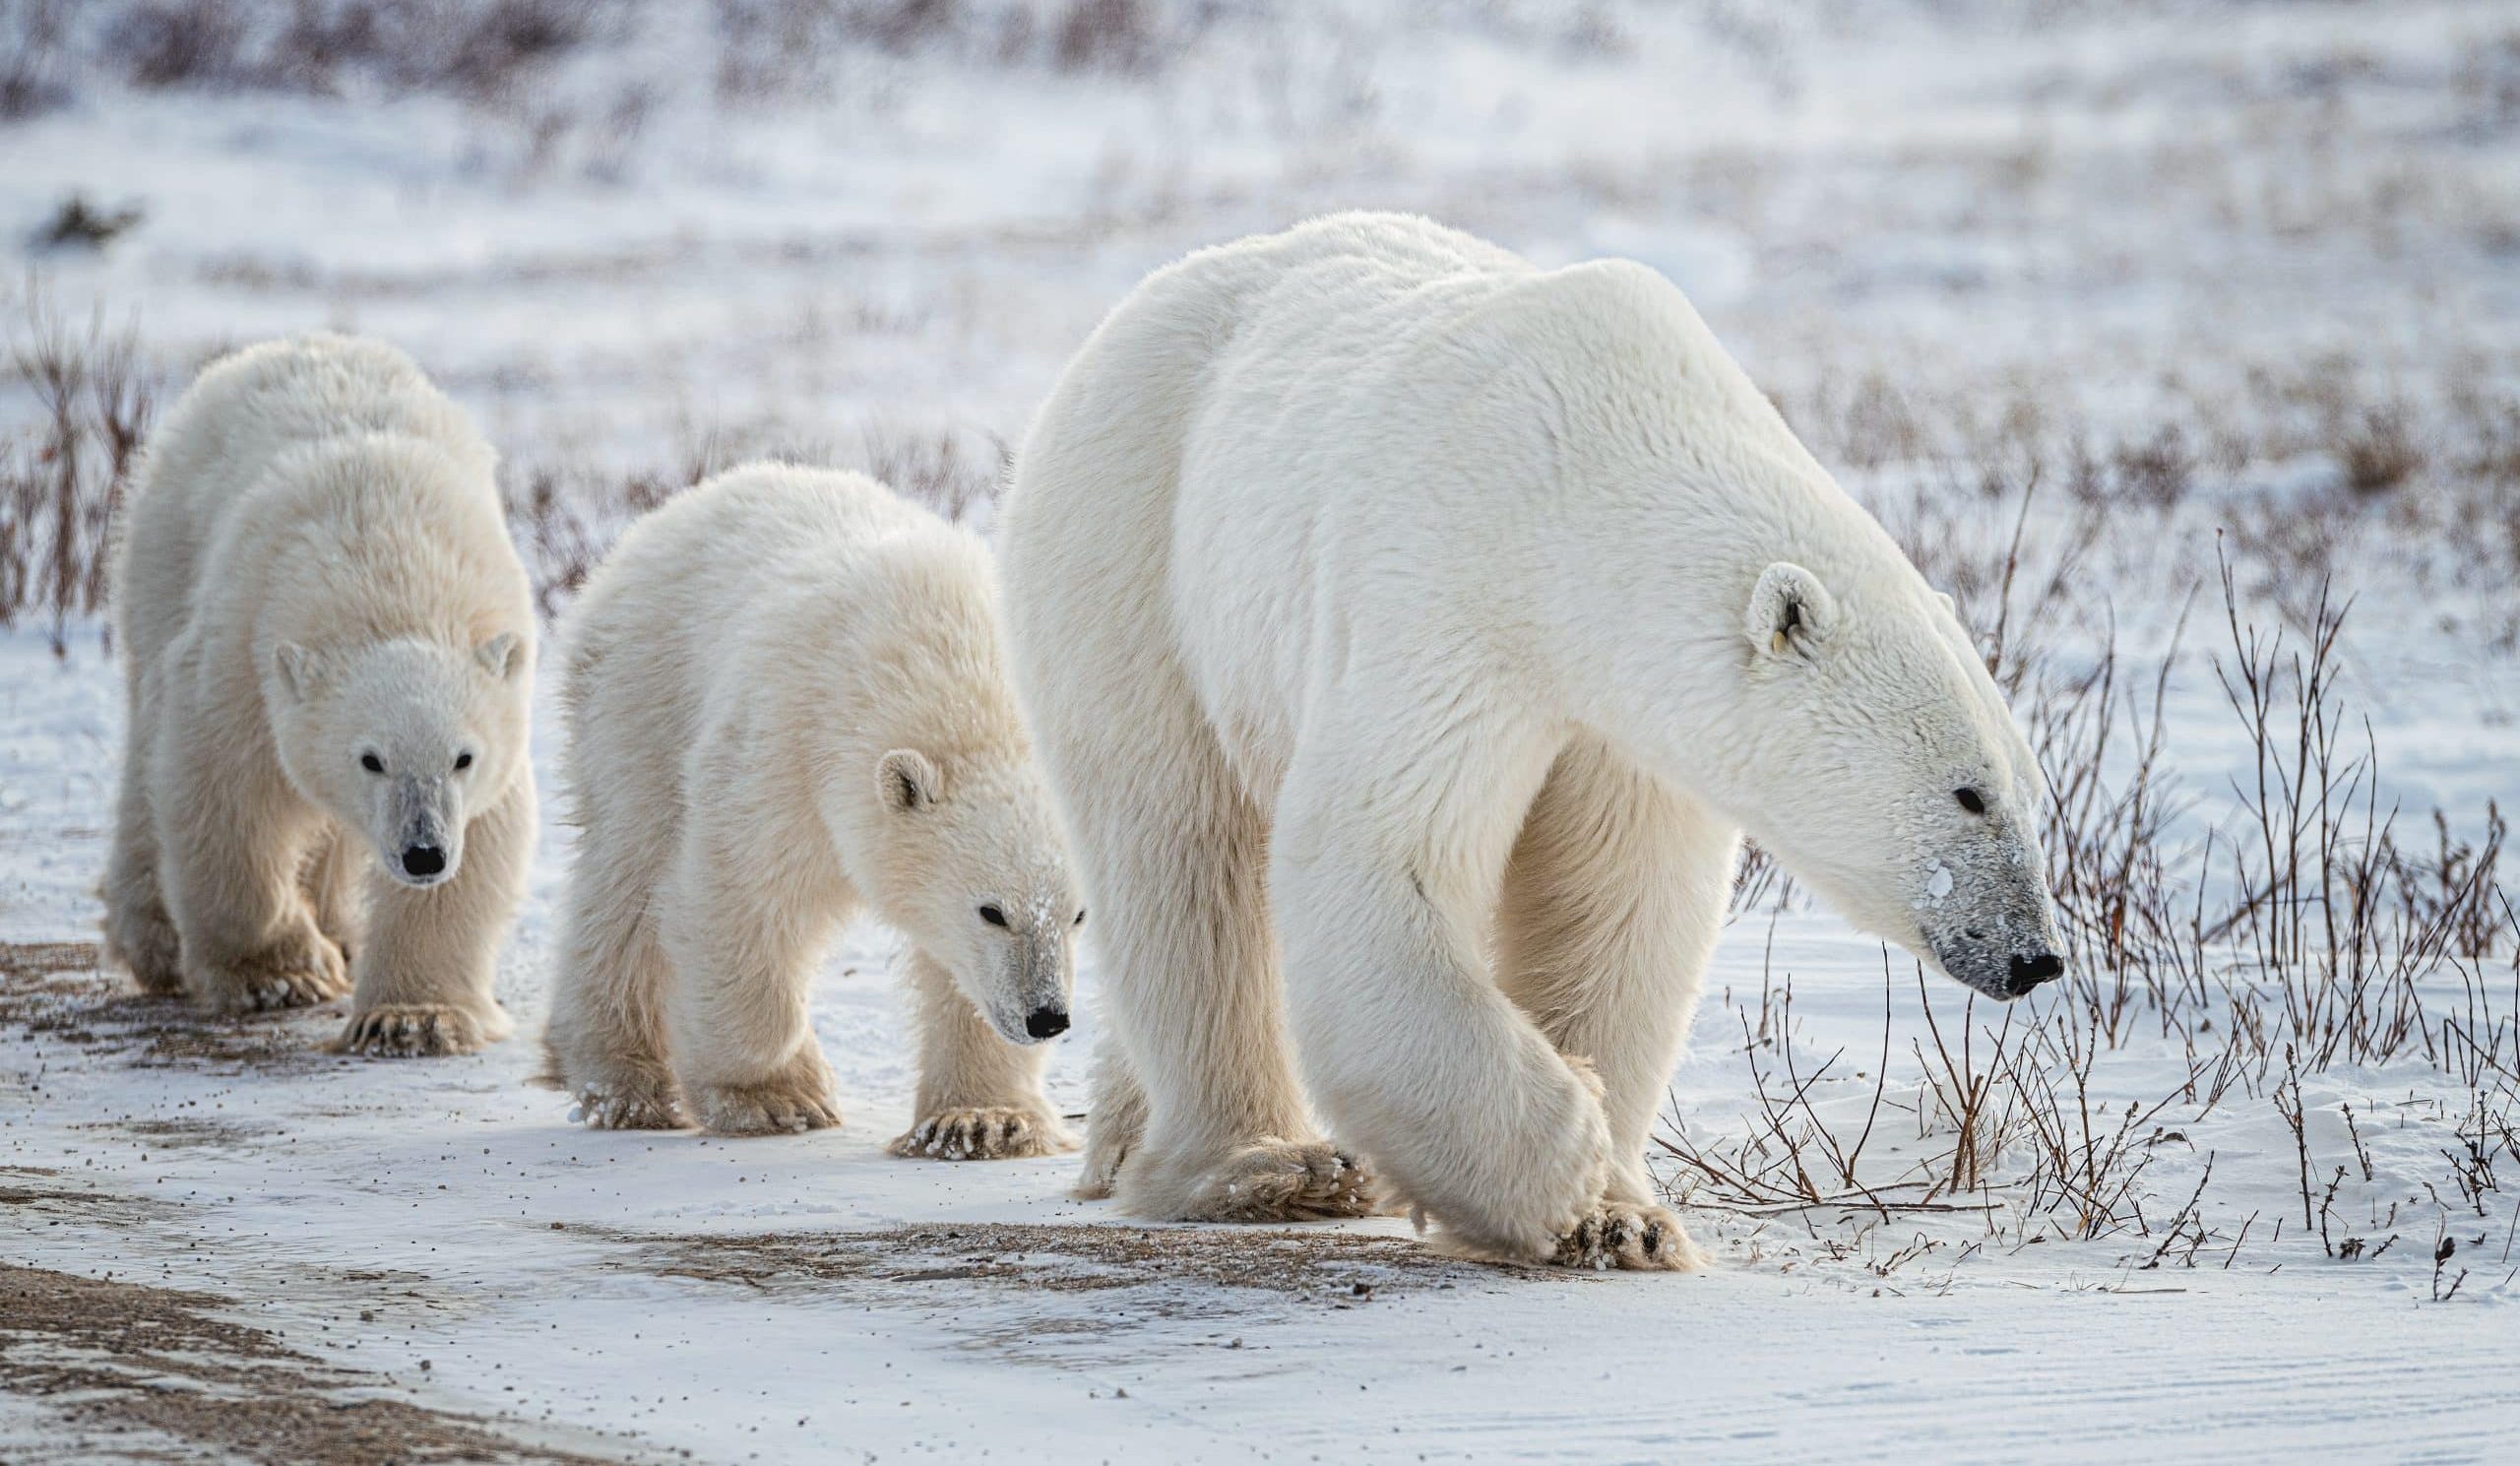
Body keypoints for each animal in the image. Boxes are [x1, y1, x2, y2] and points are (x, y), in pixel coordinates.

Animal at [102, 335, 536, 1057]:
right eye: (371, 758)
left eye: (462, 757)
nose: (423, 853)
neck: (387, 570)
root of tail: (291, 342)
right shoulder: (242, 658)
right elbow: (225, 791)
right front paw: (281, 976)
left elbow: (483, 837)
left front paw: (412, 1017)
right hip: (163, 554)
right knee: (146, 744)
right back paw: (156, 939)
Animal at [546, 466, 1078, 1153]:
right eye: (992, 911)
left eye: (1078, 916)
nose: (1048, 1017)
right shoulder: (784, 749)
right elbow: (741, 899)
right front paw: (777, 1094)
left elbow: (961, 977)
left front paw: (981, 1121)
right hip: (641, 697)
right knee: (628, 878)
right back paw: (625, 1085)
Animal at [987, 213, 2066, 1269]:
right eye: (1969, 791)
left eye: (2031, 791)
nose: (2037, 955)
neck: (1588, 476)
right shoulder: (1452, 596)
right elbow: (1381, 852)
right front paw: (1563, 1157)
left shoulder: (1623, 718)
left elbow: (1611, 901)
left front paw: (1623, 1219)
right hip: (1135, 544)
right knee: (1184, 853)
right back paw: (1264, 1167)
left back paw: (1126, 1145)